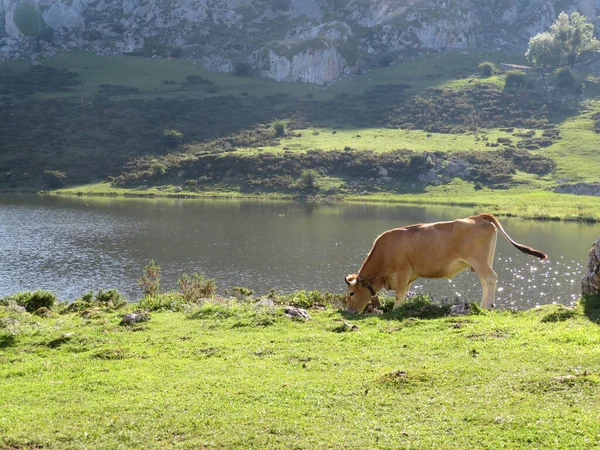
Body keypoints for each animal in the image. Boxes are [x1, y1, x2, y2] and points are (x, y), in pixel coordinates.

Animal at [344, 214, 548, 312]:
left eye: (351, 293)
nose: (349, 312)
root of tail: (477, 217)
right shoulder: (408, 277)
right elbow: (405, 295)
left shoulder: (402, 272)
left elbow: (400, 295)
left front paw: (395, 311)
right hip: (484, 261)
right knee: (486, 281)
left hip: (479, 261)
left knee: (490, 278)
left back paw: (486, 306)